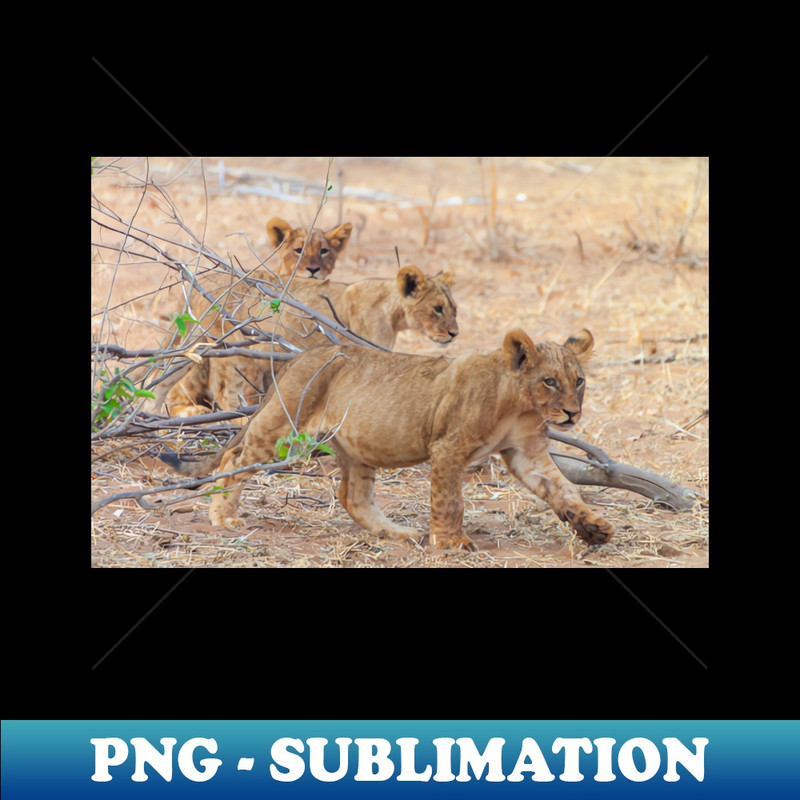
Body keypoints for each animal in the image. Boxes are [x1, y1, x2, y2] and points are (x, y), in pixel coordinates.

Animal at [161, 328, 614, 550]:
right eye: (549, 381)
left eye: (579, 381)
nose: (572, 413)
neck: (520, 406)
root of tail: (299, 356)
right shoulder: (448, 447)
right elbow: (450, 501)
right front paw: (451, 544)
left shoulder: (526, 452)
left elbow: (564, 490)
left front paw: (593, 529)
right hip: (282, 425)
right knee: (234, 458)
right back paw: (223, 515)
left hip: (355, 448)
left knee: (353, 496)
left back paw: (397, 533)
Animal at [162, 266, 459, 419]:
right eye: (437, 309)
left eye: (454, 308)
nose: (455, 334)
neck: (392, 312)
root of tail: (199, 281)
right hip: (231, 347)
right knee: (225, 395)